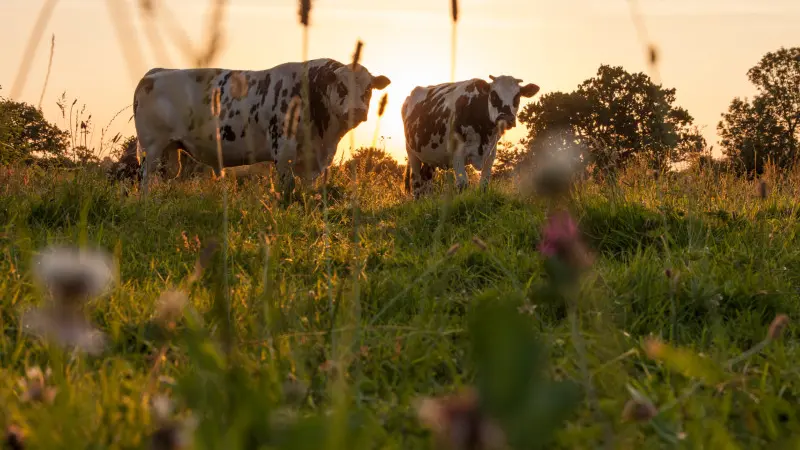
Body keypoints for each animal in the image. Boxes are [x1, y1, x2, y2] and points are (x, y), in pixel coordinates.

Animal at [132, 58, 391, 196]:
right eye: (342, 86)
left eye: (368, 88)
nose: (358, 110)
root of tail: (155, 72)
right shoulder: (283, 151)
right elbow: (288, 187)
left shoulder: (314, 160)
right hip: (151, 147)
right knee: (146, 178)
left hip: (170, 150)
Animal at [401, 75, 540, 198]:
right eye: (493, 95)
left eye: (517, 97)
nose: (506, 118)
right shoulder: (457, 153)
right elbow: (462, 184)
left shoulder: (491, 152)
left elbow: (484, 183)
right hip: (411, 152)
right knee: (417, 182)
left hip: (430, 155)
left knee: (426, 178)